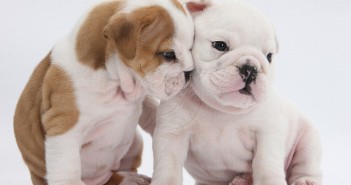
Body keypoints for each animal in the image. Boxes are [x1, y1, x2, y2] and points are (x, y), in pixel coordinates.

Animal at [14, 0, 195, 184]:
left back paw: (131, 178)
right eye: (168, 54)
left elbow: (151, 110)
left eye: (191, 48)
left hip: (135, 142)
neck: (114, 79)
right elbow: (67, 168)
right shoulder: (64, 125)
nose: (189, 72)